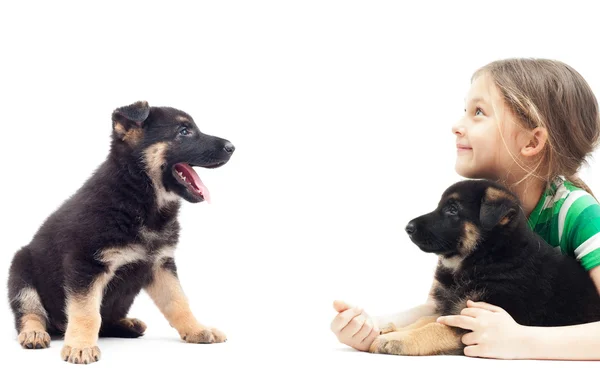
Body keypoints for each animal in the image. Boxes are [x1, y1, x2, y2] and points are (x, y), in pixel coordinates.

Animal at [8, 101, 237, 366]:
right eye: (184, 131)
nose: (232, 147)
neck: (138, 196)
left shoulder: (160, 264)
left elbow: (178, 301)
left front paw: (197, 329)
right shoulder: (86, 265)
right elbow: (86, 312)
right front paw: (80, 346)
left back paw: (127, 324)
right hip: (20, 271)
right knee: (31, 312)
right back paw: (34, 332)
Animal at [370, 180, 600, 358]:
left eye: (452, 209)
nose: (408, 228)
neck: (490, 257)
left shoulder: (477, 317)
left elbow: (435, 327)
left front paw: (397, 339)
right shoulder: (455, 306)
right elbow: (425, 319)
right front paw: (391, 330)